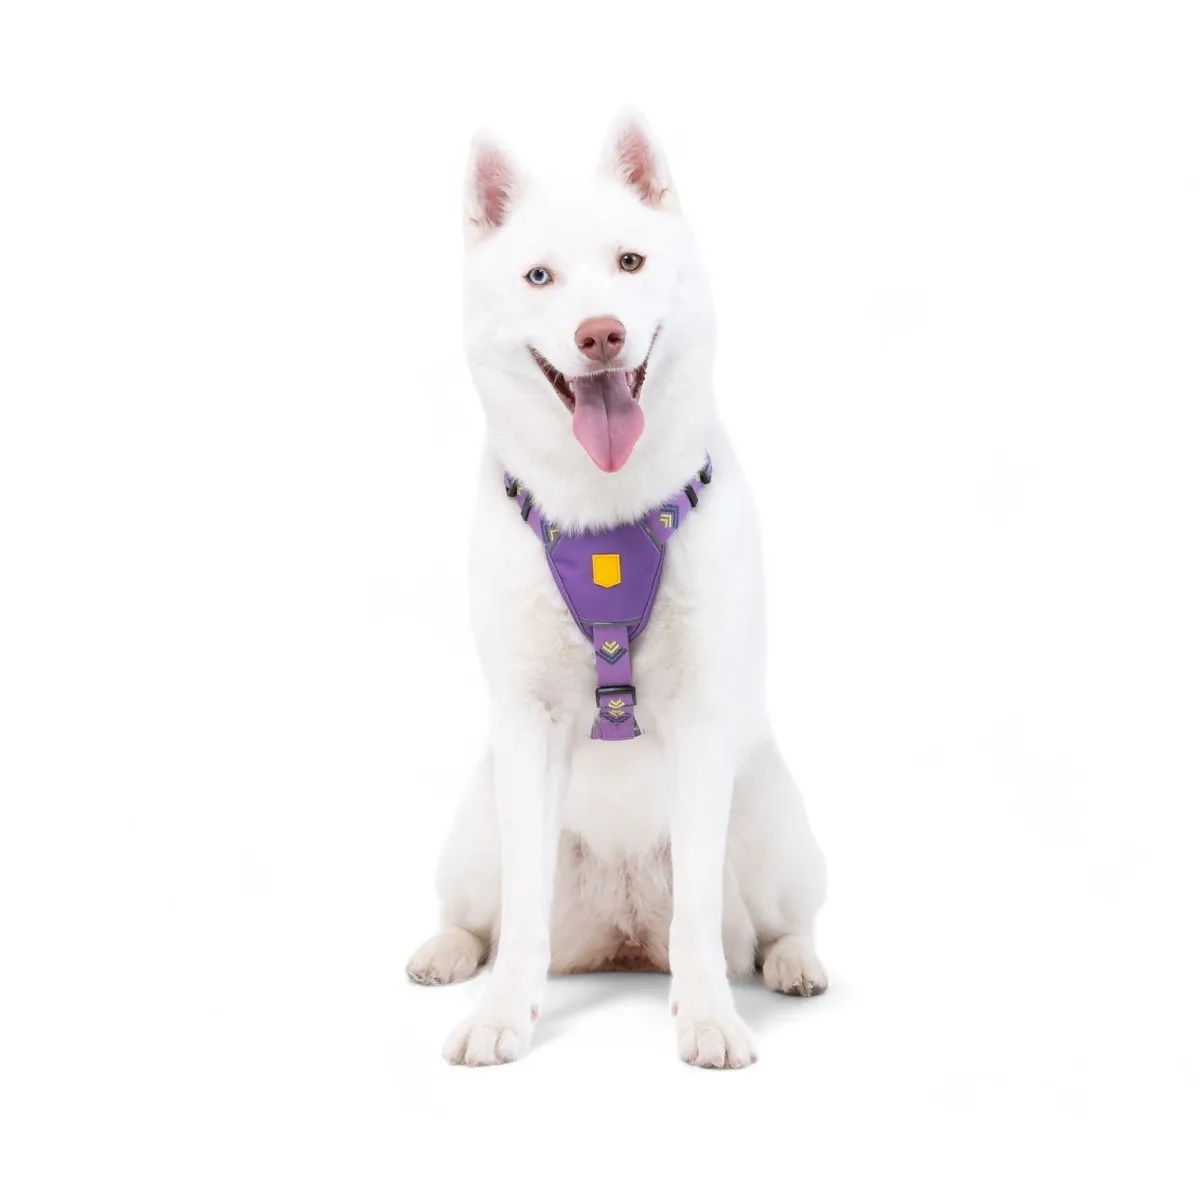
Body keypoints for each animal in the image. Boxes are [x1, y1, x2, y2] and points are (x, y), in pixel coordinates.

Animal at [406, 111, 828, 1068]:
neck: (603, 516)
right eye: (539, 276)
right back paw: (447, 952)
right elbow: (521, 914)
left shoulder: (703, 720)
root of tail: (624, 933)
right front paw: (500, 1015)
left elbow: (701, 917)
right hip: (475, 831)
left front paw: (708, 1015)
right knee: (479, 913)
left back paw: (792, 963)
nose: (600, 333)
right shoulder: (528, 726)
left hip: (774, 826)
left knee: (774, 922)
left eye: (630, 262)